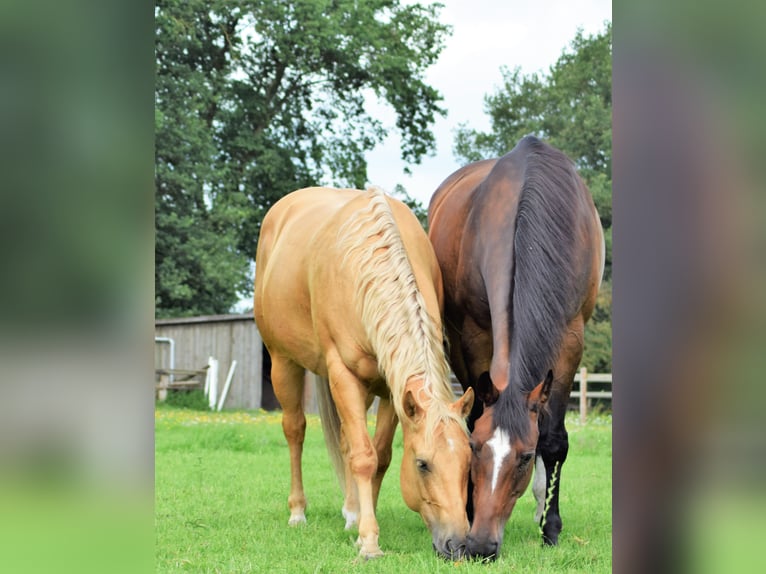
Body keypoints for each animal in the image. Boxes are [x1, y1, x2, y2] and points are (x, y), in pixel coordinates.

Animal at [254, 186, 475, 559]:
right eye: (422, 464)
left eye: (469, 462)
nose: (458, 545)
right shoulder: (343, 375)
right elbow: (363, 458)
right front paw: (369, 541)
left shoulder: (392, 390)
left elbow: (379, 456)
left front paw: (360, 527)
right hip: (284, 363)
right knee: (295, 431)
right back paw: (298, 512)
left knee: (346, 440)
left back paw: (351, 512)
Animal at [427, 136, 605, 559]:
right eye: (475, 449)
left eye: (524, 457)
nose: (480, 545)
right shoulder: (473, 335)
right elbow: (473, 416)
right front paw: (468, 508)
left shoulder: (571, 338)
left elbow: (553, 439)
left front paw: (550, 527)